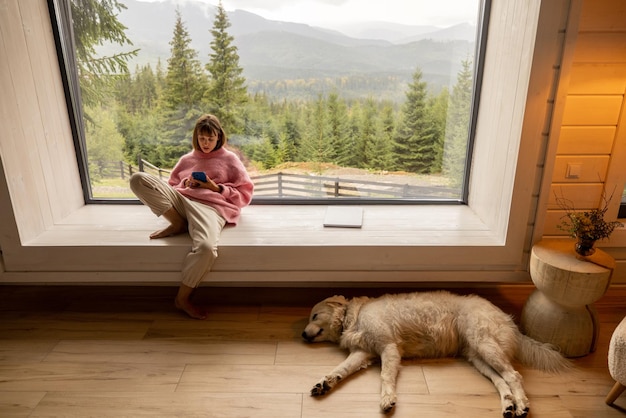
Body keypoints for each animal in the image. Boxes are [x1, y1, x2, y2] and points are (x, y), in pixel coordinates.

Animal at [300, 290, 568, 418]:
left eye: (314, 315)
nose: (302, 334)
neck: (351, 316)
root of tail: (508, 319)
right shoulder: (363, 352)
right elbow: (339, 370)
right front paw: (324, 383)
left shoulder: (388, 348)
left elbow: (386, 378)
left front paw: (388, 400)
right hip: (478, 358)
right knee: (502, 382)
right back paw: (508, 406)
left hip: (485, 345)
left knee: (514, 376)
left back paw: (522, 405)